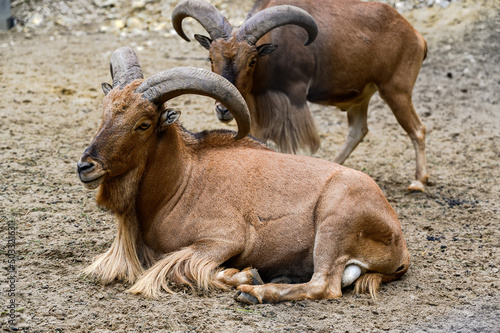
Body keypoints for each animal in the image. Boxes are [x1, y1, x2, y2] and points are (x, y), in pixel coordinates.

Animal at [77, 46, 410, 304]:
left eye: (143, 124)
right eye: (105, 113)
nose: (85, 166)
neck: (181, 182)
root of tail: (399, 243)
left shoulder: (223, 239)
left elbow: (180, 269)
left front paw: (246, 276)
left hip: (334, 225)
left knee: (324, 286)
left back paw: (256, 293)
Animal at [173, 0, 430, 192]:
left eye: (252, 60)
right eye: (211, 58)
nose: (223, 110)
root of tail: (416, 36)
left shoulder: (294, 97)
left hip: (396, 90)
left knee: (417, 128)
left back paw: (418, 181)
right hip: (362, 95)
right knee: (358, 130)